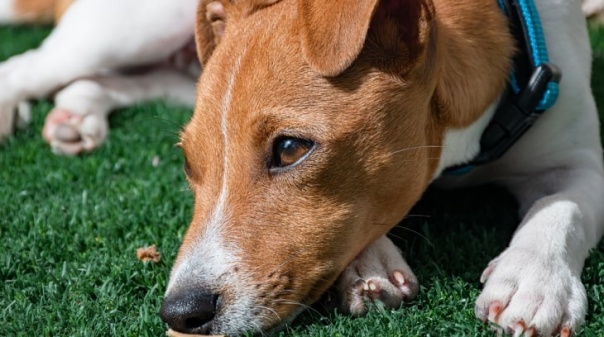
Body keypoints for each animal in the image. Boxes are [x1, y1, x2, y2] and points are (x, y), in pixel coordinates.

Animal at [159, 0, 604, 336]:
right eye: (188, 162)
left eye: (289, 149)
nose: (179, 313)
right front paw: (370, 265)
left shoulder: (577, 161)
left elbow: (563, 208)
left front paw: (534, 279)